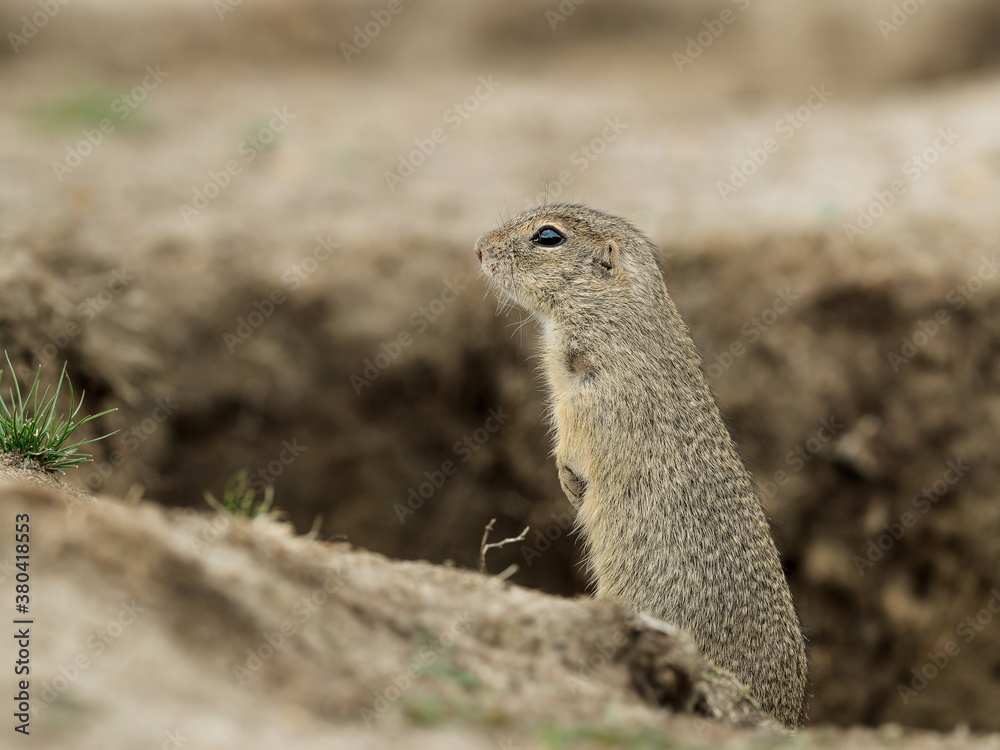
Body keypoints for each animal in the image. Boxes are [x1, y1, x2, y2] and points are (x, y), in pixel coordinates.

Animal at [475, 203, 807, 728]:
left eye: (548, 237)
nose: (478, 248)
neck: (615, 313)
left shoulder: (595, 395)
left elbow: (575, 437)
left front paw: (571, 481)